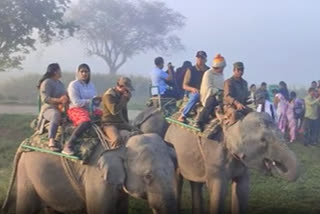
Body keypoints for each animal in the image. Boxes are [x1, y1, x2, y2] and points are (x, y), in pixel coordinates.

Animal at [1, 133, 178, 214]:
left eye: (173, 171)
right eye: (148, 176)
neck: (123, 143)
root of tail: (26, 141)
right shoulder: (96, 178)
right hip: (26, 172)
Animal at [132, 107, 298, 214]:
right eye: (263, 140)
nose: (274, 164)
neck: (234, 123)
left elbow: (242, 190)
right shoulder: (215, 153)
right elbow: (218, 190)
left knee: (195, 183)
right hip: (171, 145)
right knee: (177, 179)